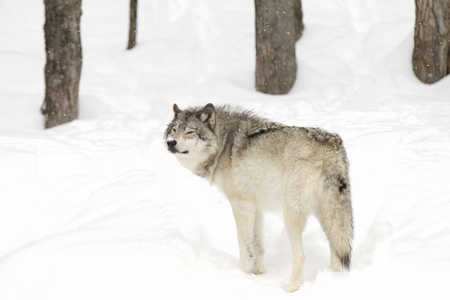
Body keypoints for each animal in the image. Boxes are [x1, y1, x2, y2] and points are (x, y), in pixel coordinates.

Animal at [163, 103, 354, 292]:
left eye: (190, 132)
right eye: (173, 130)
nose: (171, 142)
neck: (223, 145)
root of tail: (332, 146)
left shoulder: (241, 205)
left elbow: (245, 247)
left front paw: (243, 274)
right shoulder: (256, 207)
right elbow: (258, 246)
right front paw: (259, 274)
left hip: (291, 214)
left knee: (301, 255)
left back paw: (290, 288)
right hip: (327, 215)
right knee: (337, 250)